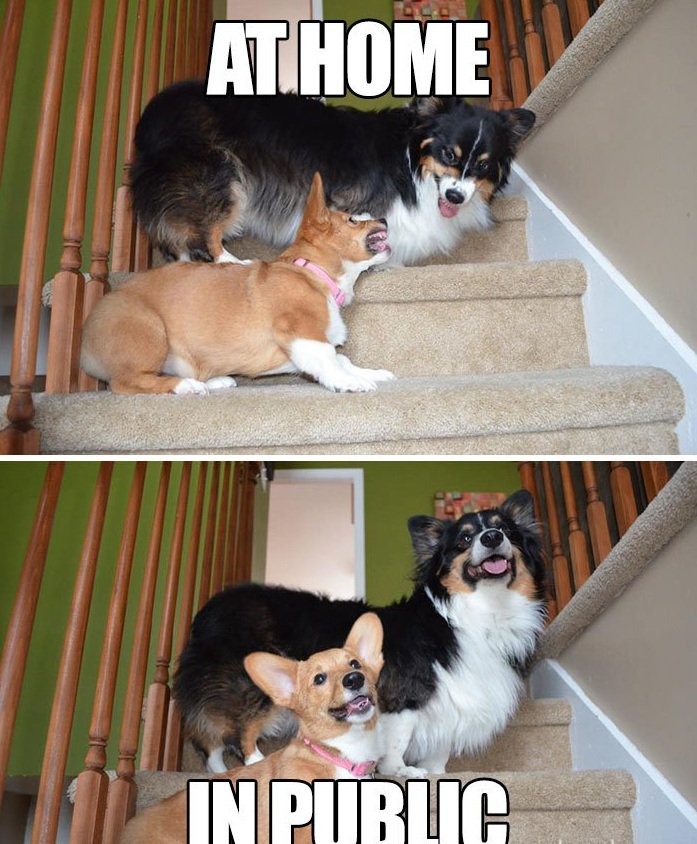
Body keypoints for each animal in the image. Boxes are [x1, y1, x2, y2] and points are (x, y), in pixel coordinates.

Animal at [80, 173, 394, 395]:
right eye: (353, 219)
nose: (383, 218)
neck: (314, 273)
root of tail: (86, 344)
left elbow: (344, 360)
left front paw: (371, 373)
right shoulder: (301, 332)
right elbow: (331, 358)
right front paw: (350, 382)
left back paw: (214, 381)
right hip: (151, 330)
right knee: (126, 383)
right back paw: (188, 387)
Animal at [131, 82, 535, 266]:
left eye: (482, 165)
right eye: (447, 154)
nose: (455, 197)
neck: (410, 163)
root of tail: (154, 107)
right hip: (224, 178)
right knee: (203, 239)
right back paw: (234, 264)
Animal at [174, 490, 547, 779]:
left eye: (506, 530)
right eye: (464, 539)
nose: (492, 537)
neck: (477, 611)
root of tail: (209, 610)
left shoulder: (456, 704)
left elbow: (439, 753)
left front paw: (436, 774)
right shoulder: (403, 697)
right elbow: (397, 743)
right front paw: (401, 771)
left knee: (210, 743)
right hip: (253, 689)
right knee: (238, 734)